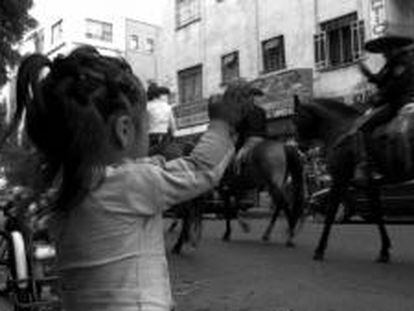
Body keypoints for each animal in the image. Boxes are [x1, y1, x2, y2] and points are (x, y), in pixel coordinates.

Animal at [292, 96, 414, 262]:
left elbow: (331, 211)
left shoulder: (339, 178)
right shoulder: (369, 184)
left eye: (296, 118)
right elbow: (377, 211)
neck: (340, 129)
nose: (299, 147)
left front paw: (320, 249)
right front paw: (384, 249)